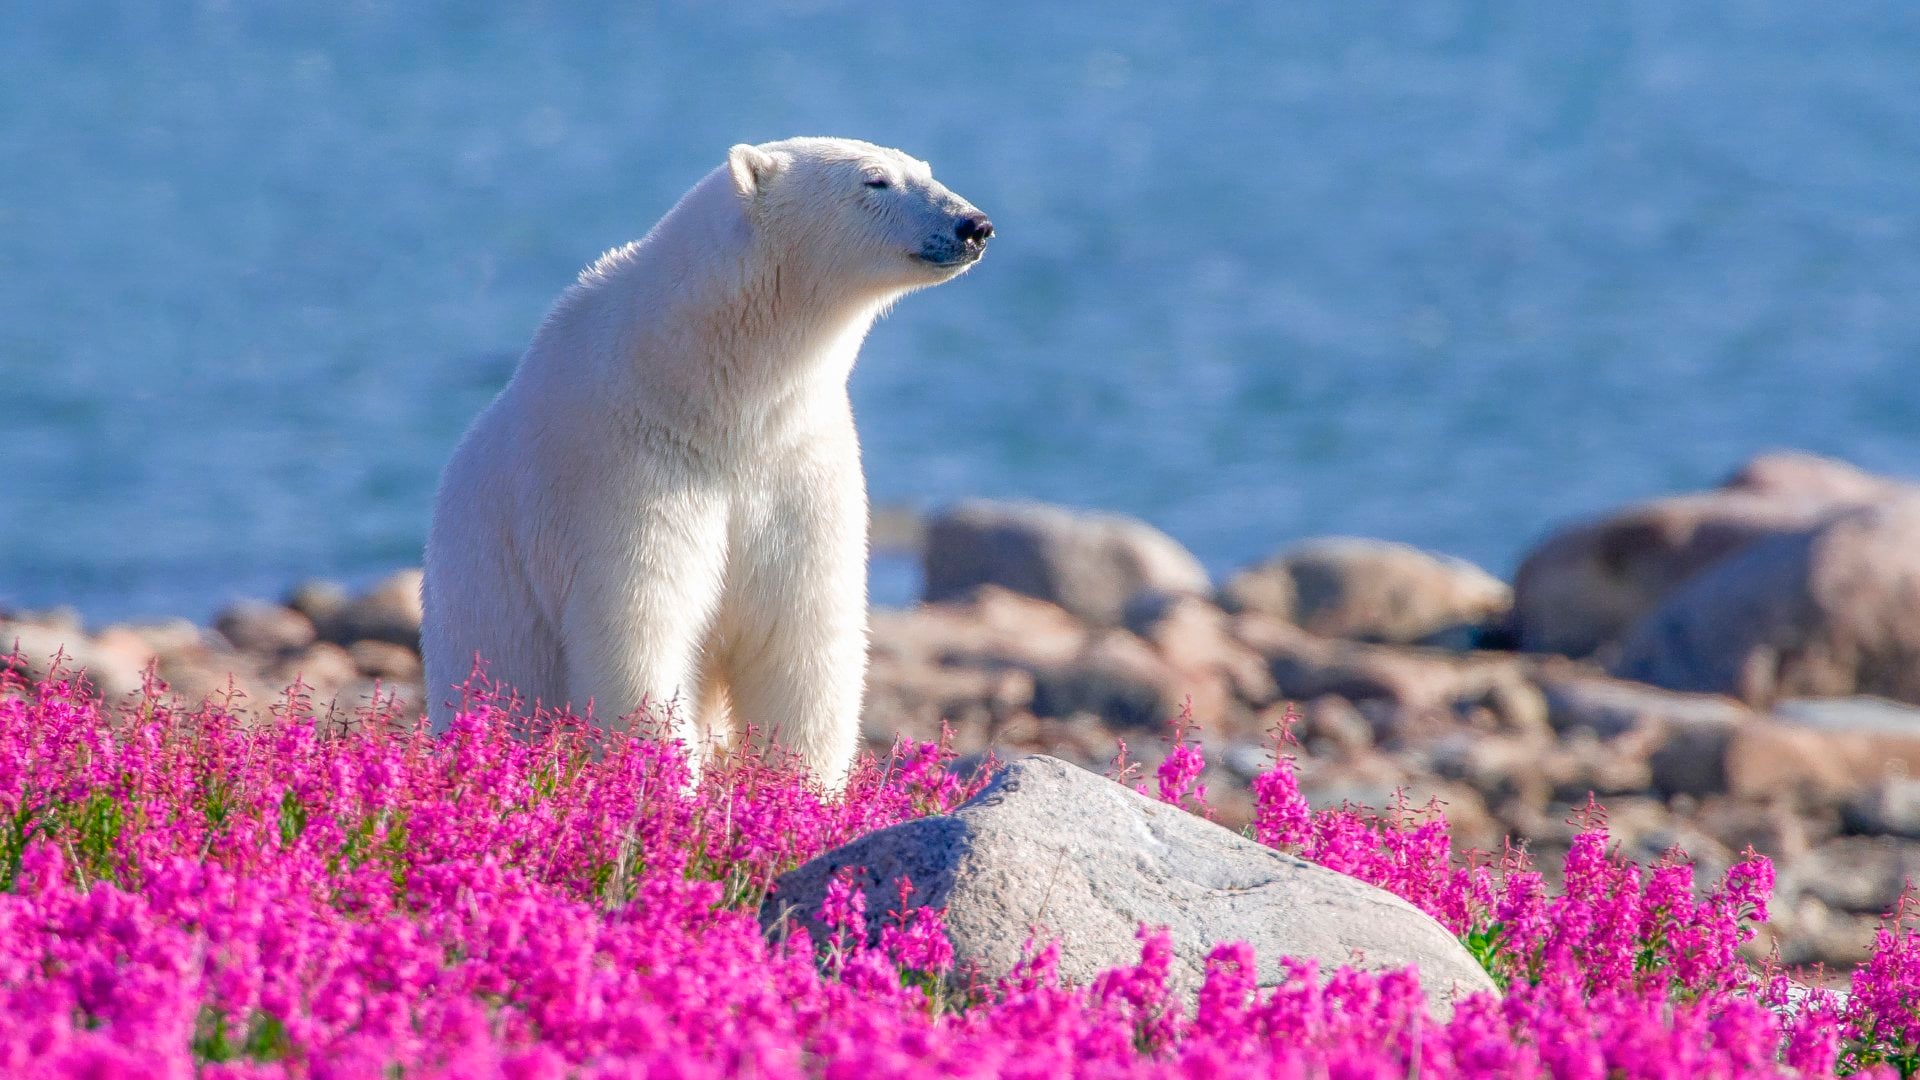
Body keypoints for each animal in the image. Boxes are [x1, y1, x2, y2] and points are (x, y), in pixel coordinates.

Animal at [421, 137, 993, 792]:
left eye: (923, 169)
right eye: (875, 181)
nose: (974, 225)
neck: (708, 393)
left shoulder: (795, 462)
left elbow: (801, 635)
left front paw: (802, 791)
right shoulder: (622, 466)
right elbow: (640, 631)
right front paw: (668, 787)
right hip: (482, 631)